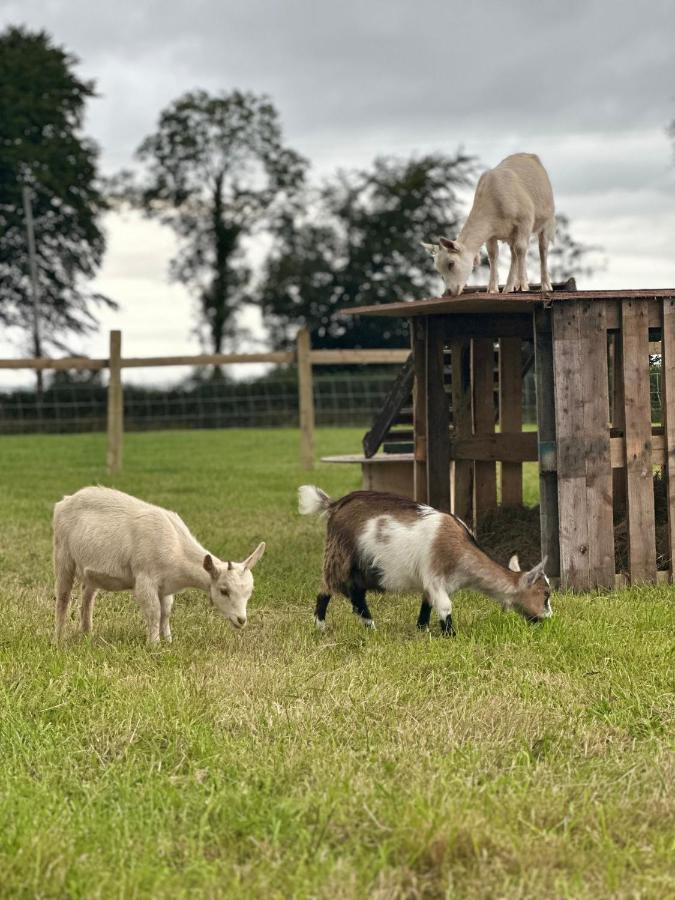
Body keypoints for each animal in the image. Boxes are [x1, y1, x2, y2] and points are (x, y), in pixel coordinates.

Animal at [52, 488, 266, 644]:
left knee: (87, 597)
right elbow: (154, 612)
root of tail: (63, 502)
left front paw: (168, 641)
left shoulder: (166, 586)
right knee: (63, 598)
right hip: (63, 554)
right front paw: (154, 645)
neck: (177, 547)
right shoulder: (145, 578)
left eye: (249, 592)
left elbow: (166, 612)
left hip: (90, 570)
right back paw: (59, 639)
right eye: (224, 591)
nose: (241, 620)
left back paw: (87, 635)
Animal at [298, 486, 552, 632]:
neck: (462, 551)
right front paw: (451, 634)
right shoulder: (434, 576)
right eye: (545, 595)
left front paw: (422, 630)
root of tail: (335, 505)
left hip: (363, 566)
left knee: (357, 595)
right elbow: (445, 606)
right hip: (339, 555)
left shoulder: (432, 584)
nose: (549, 618)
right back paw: (320, 627)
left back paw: (371, 627)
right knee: (326, 589)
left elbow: (427, 604)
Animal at [422, 152, 556, 296]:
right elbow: (493, 255)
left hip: (547, 221)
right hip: (511, 234)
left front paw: (522, 285)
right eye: (438, 271)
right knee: (513, 254)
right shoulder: (491, 233)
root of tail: (528, 155)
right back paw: (509, 287)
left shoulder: (524, 221)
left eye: (451, 263)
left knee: (542, 249)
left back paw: (545, 285)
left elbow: (521, 249)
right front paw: (492, 288)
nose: (450, 292)